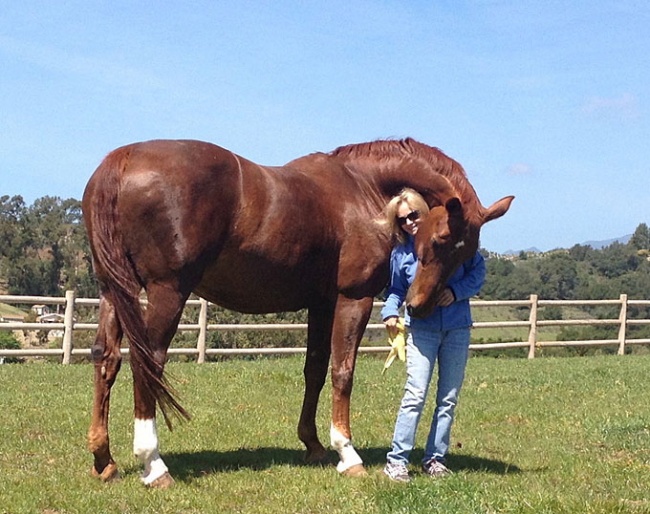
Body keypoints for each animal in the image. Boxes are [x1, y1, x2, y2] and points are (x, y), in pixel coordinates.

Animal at [81, 137, 512, 484]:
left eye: (467, 254)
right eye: (441, 239)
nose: (420, 307)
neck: (362, 187)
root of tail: (121, 160)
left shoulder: (321, 303)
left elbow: (315, 370)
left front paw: (314, 444)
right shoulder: (352, 298)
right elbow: (342, 371)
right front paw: (347, 454)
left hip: (114, 290)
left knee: (106, 359)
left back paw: (104, 460)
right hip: (167, 292)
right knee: (147, 362)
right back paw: (154, 465)